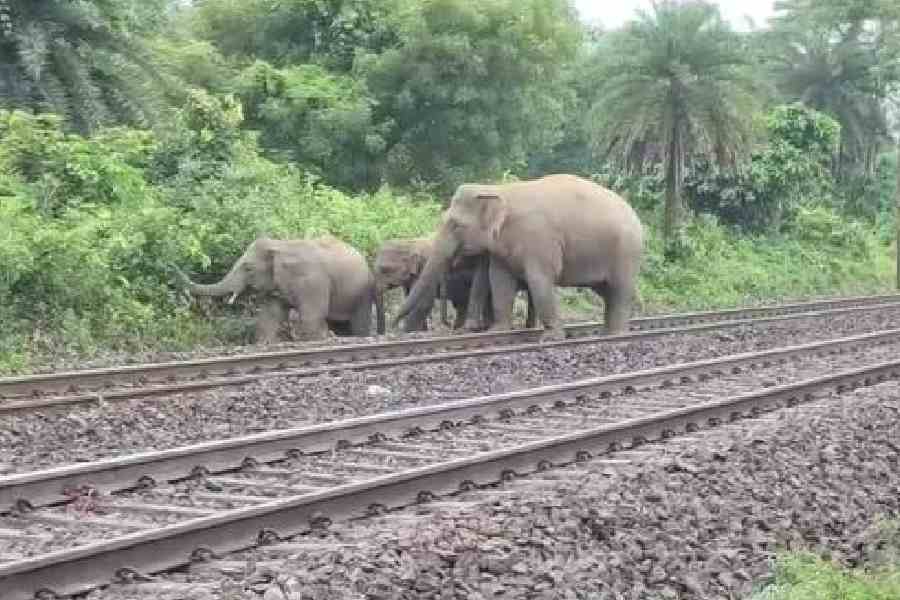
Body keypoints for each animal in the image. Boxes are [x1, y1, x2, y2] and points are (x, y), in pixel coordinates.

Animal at [175, 236, 378, 343]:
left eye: (248, 268)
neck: (280, 244)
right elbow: (270, 315)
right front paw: (264, 344)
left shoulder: (312, 281)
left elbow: (311, 315)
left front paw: (320, 339)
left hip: (363, 291)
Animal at [374, 238, 534, 333]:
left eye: (384, 269)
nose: (392, 327)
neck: (409, 243)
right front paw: (420, 331)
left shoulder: (424, 269)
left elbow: (424, 303)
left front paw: (407, 332)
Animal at [396, 174, 643, 341]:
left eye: (456, 225)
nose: (395, 326)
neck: (500, 190)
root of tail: (634, 214)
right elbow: (499, 280)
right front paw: (497, 331)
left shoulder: (539, 239)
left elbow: (539, 279)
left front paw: (551, 338)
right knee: (606, 290)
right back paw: (606, 332)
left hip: (625, 251)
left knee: (620, 289)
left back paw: (616, 335)